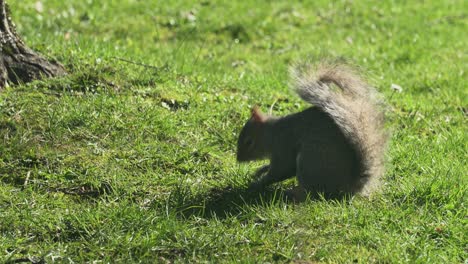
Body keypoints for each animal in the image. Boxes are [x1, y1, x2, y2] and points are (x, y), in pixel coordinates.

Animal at [238, 60, 388, 199]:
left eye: (249, 142)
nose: (238, 159)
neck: (272, 133)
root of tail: (347, 187)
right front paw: (260, 171)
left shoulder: (283, 146)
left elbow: (281, 170)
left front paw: (256, 184)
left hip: (310, 161)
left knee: (311, 193)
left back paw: (291, 194)